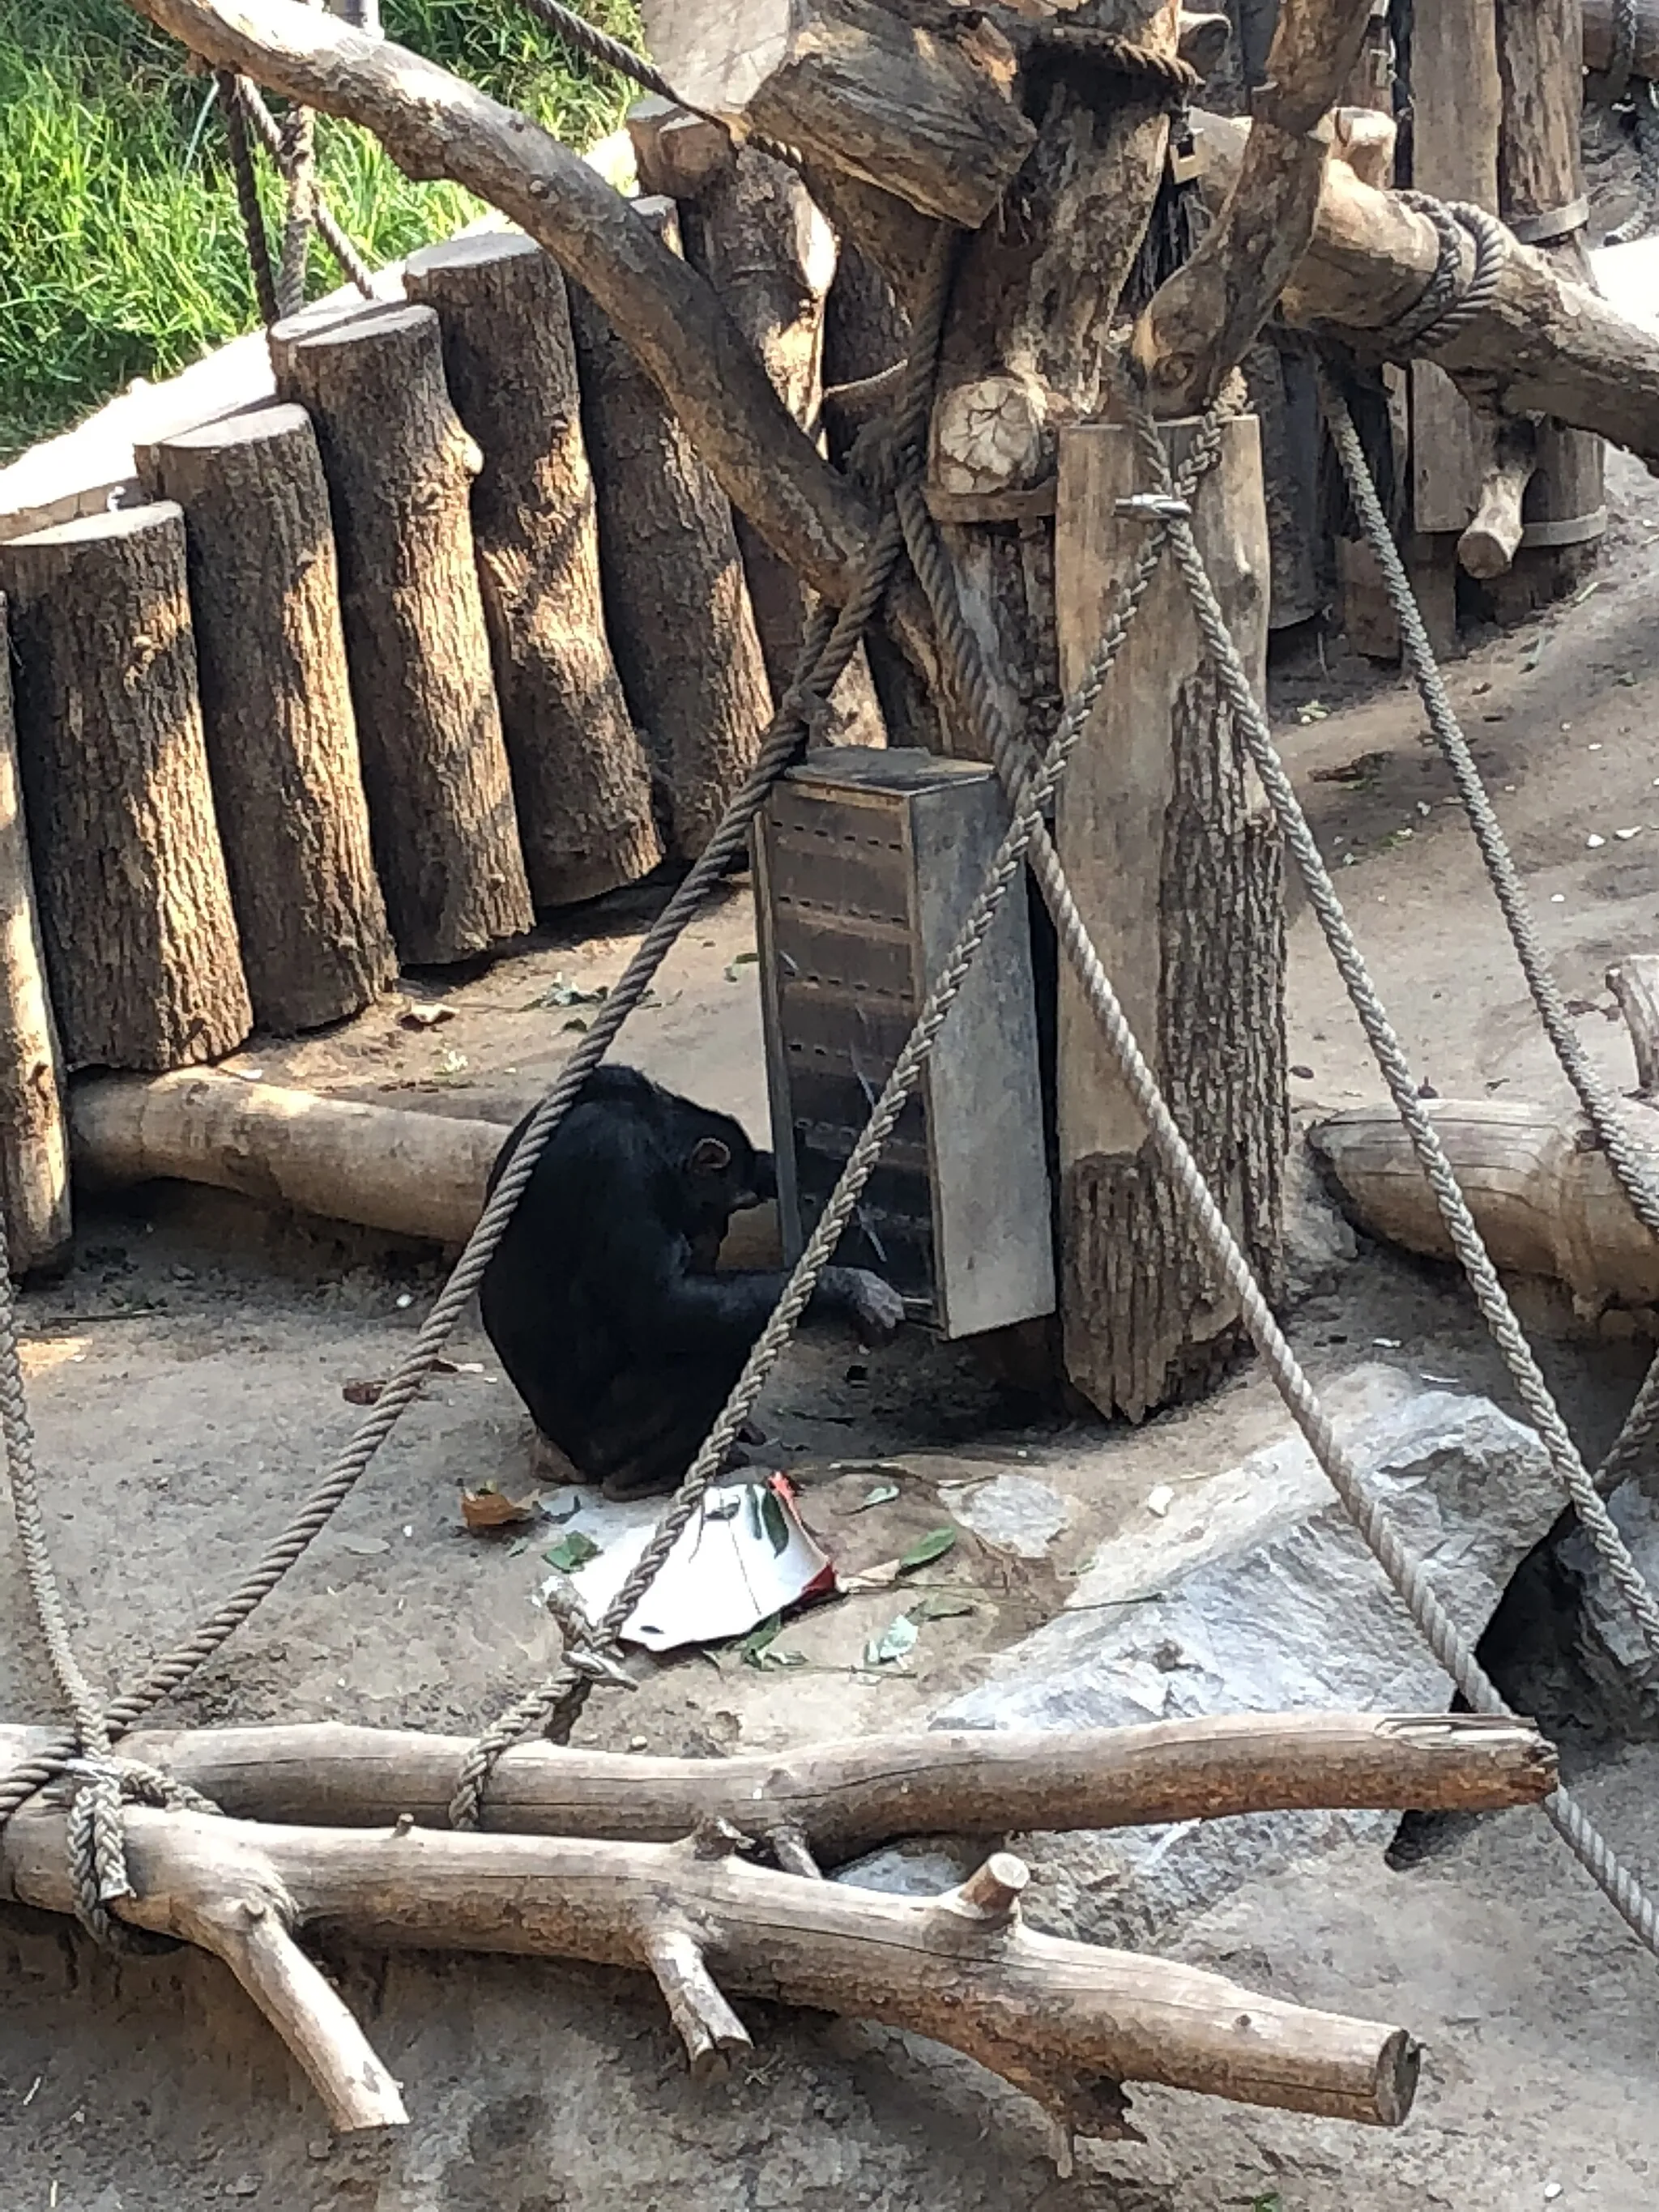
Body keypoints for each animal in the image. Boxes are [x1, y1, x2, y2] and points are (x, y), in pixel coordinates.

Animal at [477, 1066, 911, 1504]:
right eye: (729, 1204)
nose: (716, 1234)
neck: (651, 1129)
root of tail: (563, 1458)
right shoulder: (620, 1164)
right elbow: (663, 1307)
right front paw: (851, 1287)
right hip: (612, 1439)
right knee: (716, 1349)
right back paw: (648, 1477)